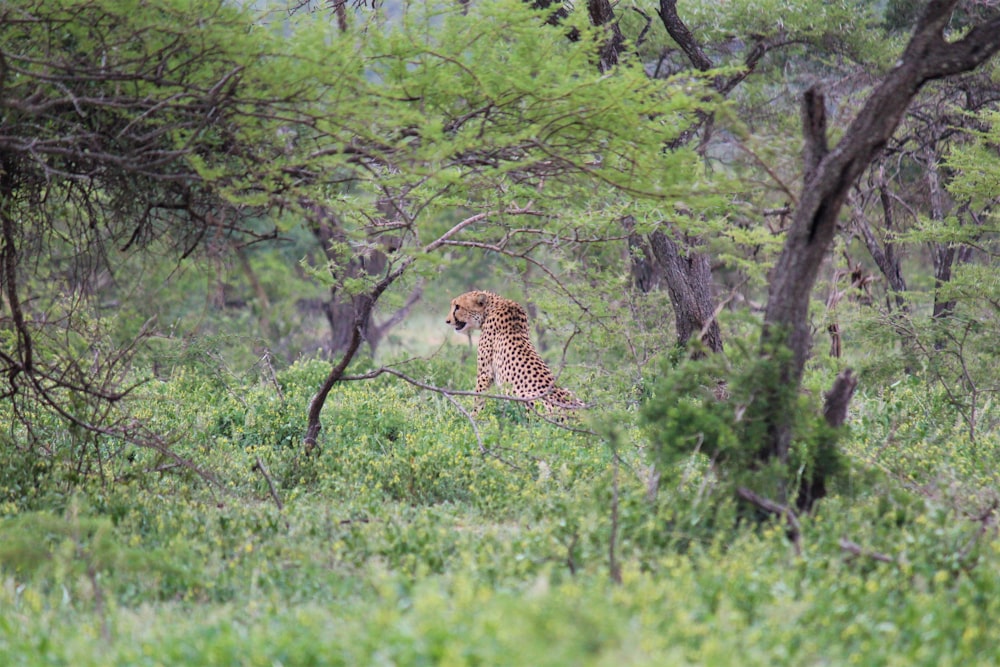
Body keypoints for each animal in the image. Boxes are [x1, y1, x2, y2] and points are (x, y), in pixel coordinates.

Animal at [442, 290, 584, 414]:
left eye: (458, 307)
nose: (447, 321)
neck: (491, 307)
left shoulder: (485, 373)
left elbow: (478, 398)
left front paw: (475, 417)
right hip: (573, 394)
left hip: (524, 396)